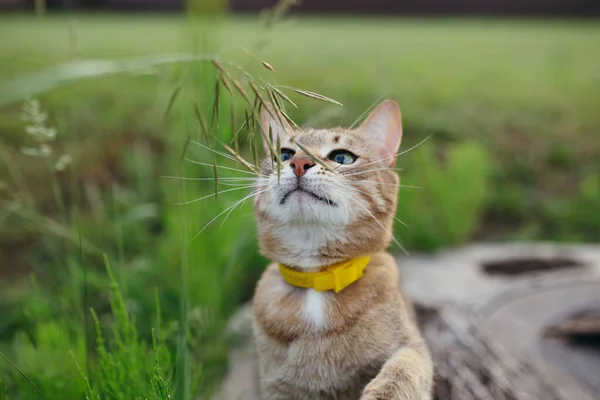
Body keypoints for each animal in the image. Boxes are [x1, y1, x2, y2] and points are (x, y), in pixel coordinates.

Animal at [251, 98, 434, 398]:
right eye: (285, 154)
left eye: (342, 158)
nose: (299, 162)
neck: (317, 282)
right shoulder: (275, 387)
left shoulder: (412, 346)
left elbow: (403, 368)